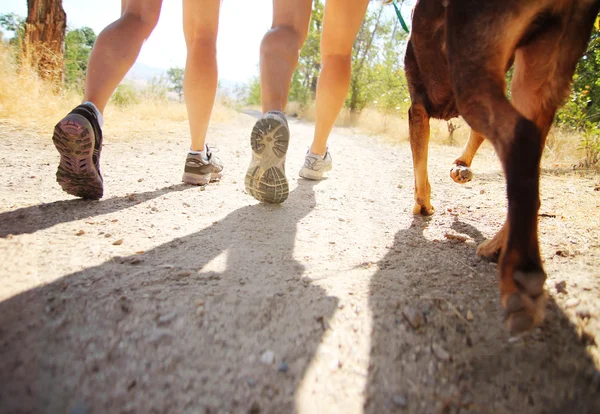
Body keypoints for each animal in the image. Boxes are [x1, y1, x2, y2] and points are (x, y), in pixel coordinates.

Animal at [404, 0, 600, 334]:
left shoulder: (417, 108)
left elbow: (421, 168)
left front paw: (422, 205)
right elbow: (474, 137)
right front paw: (460, 168)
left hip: (474, 68)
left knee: (521, 138)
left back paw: (521, 271)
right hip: (538, 69)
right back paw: (497, 246)